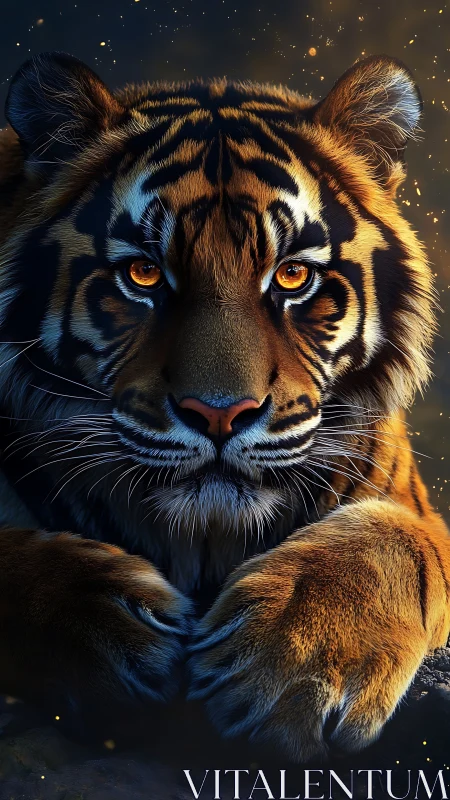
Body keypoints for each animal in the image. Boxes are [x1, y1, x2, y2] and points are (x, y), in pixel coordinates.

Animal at [0, 50, 448, 763]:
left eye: (292, 275)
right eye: (143, 275)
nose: (219, 414)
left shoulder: (411, 509)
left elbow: (390, 544)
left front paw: (289, 663)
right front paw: (111, 623)